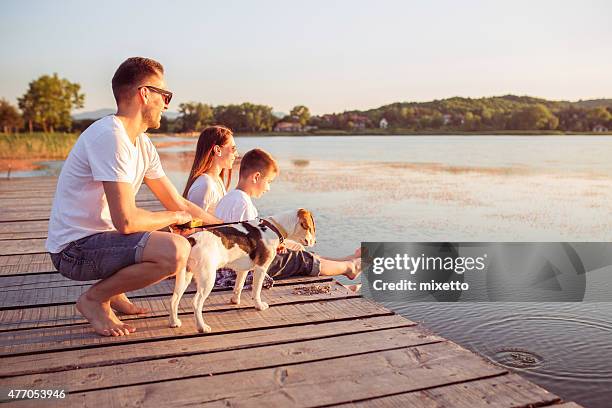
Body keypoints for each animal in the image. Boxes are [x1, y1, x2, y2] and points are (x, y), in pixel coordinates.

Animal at [171, 209, 318, 334]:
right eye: (311, 228)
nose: (315, 242)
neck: (273, 228)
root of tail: (192, 240)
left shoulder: (243, 270)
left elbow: (239, 287)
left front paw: (235, 301)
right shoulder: (261, 268)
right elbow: (256, 291)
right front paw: (259, 306)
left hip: (184, 277)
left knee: (174, 299)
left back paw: (174, 322)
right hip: (207, 279)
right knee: (196, 303)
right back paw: (202, 327)